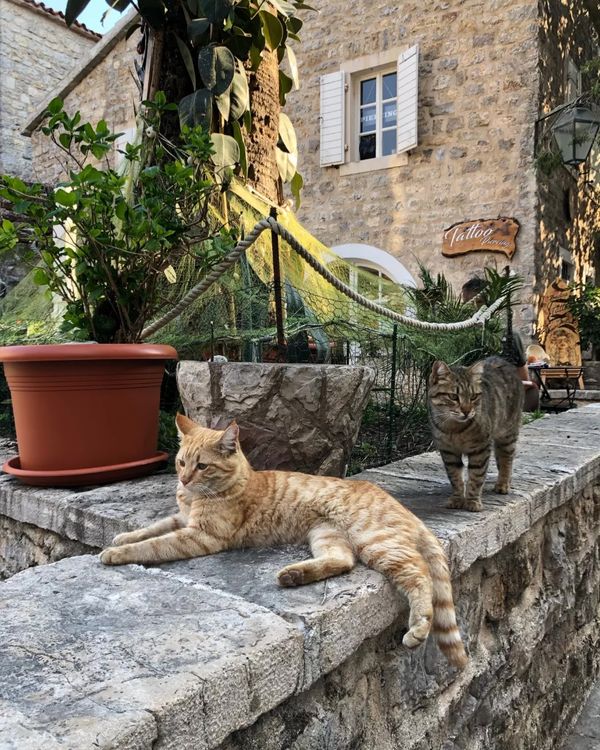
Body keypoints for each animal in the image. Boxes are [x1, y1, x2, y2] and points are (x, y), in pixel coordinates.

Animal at [99, 418, 468, 668]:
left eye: (201, 466)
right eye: (180, 462)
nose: (184, 479)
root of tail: (402, 506)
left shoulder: (201, 535)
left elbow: (153, 545)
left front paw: (115, 553)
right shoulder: (182, 519)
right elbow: (151, 528)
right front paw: (121, 536)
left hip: (376, 541)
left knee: (419, 576)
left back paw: (418, 628)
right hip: (326, 534)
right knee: (343, 561)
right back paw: (293, 575)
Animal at [428, 356, 524, 512]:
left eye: (473, 396)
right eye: (453, 396)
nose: (467, 411)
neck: (454, 429)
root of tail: (502, 359)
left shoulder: (481, 449)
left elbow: (476, 476)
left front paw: (473, 501)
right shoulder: (448, 451)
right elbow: (455, 476)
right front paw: (457, 498)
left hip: (507, 434)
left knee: (506, 459)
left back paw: (503, 484)